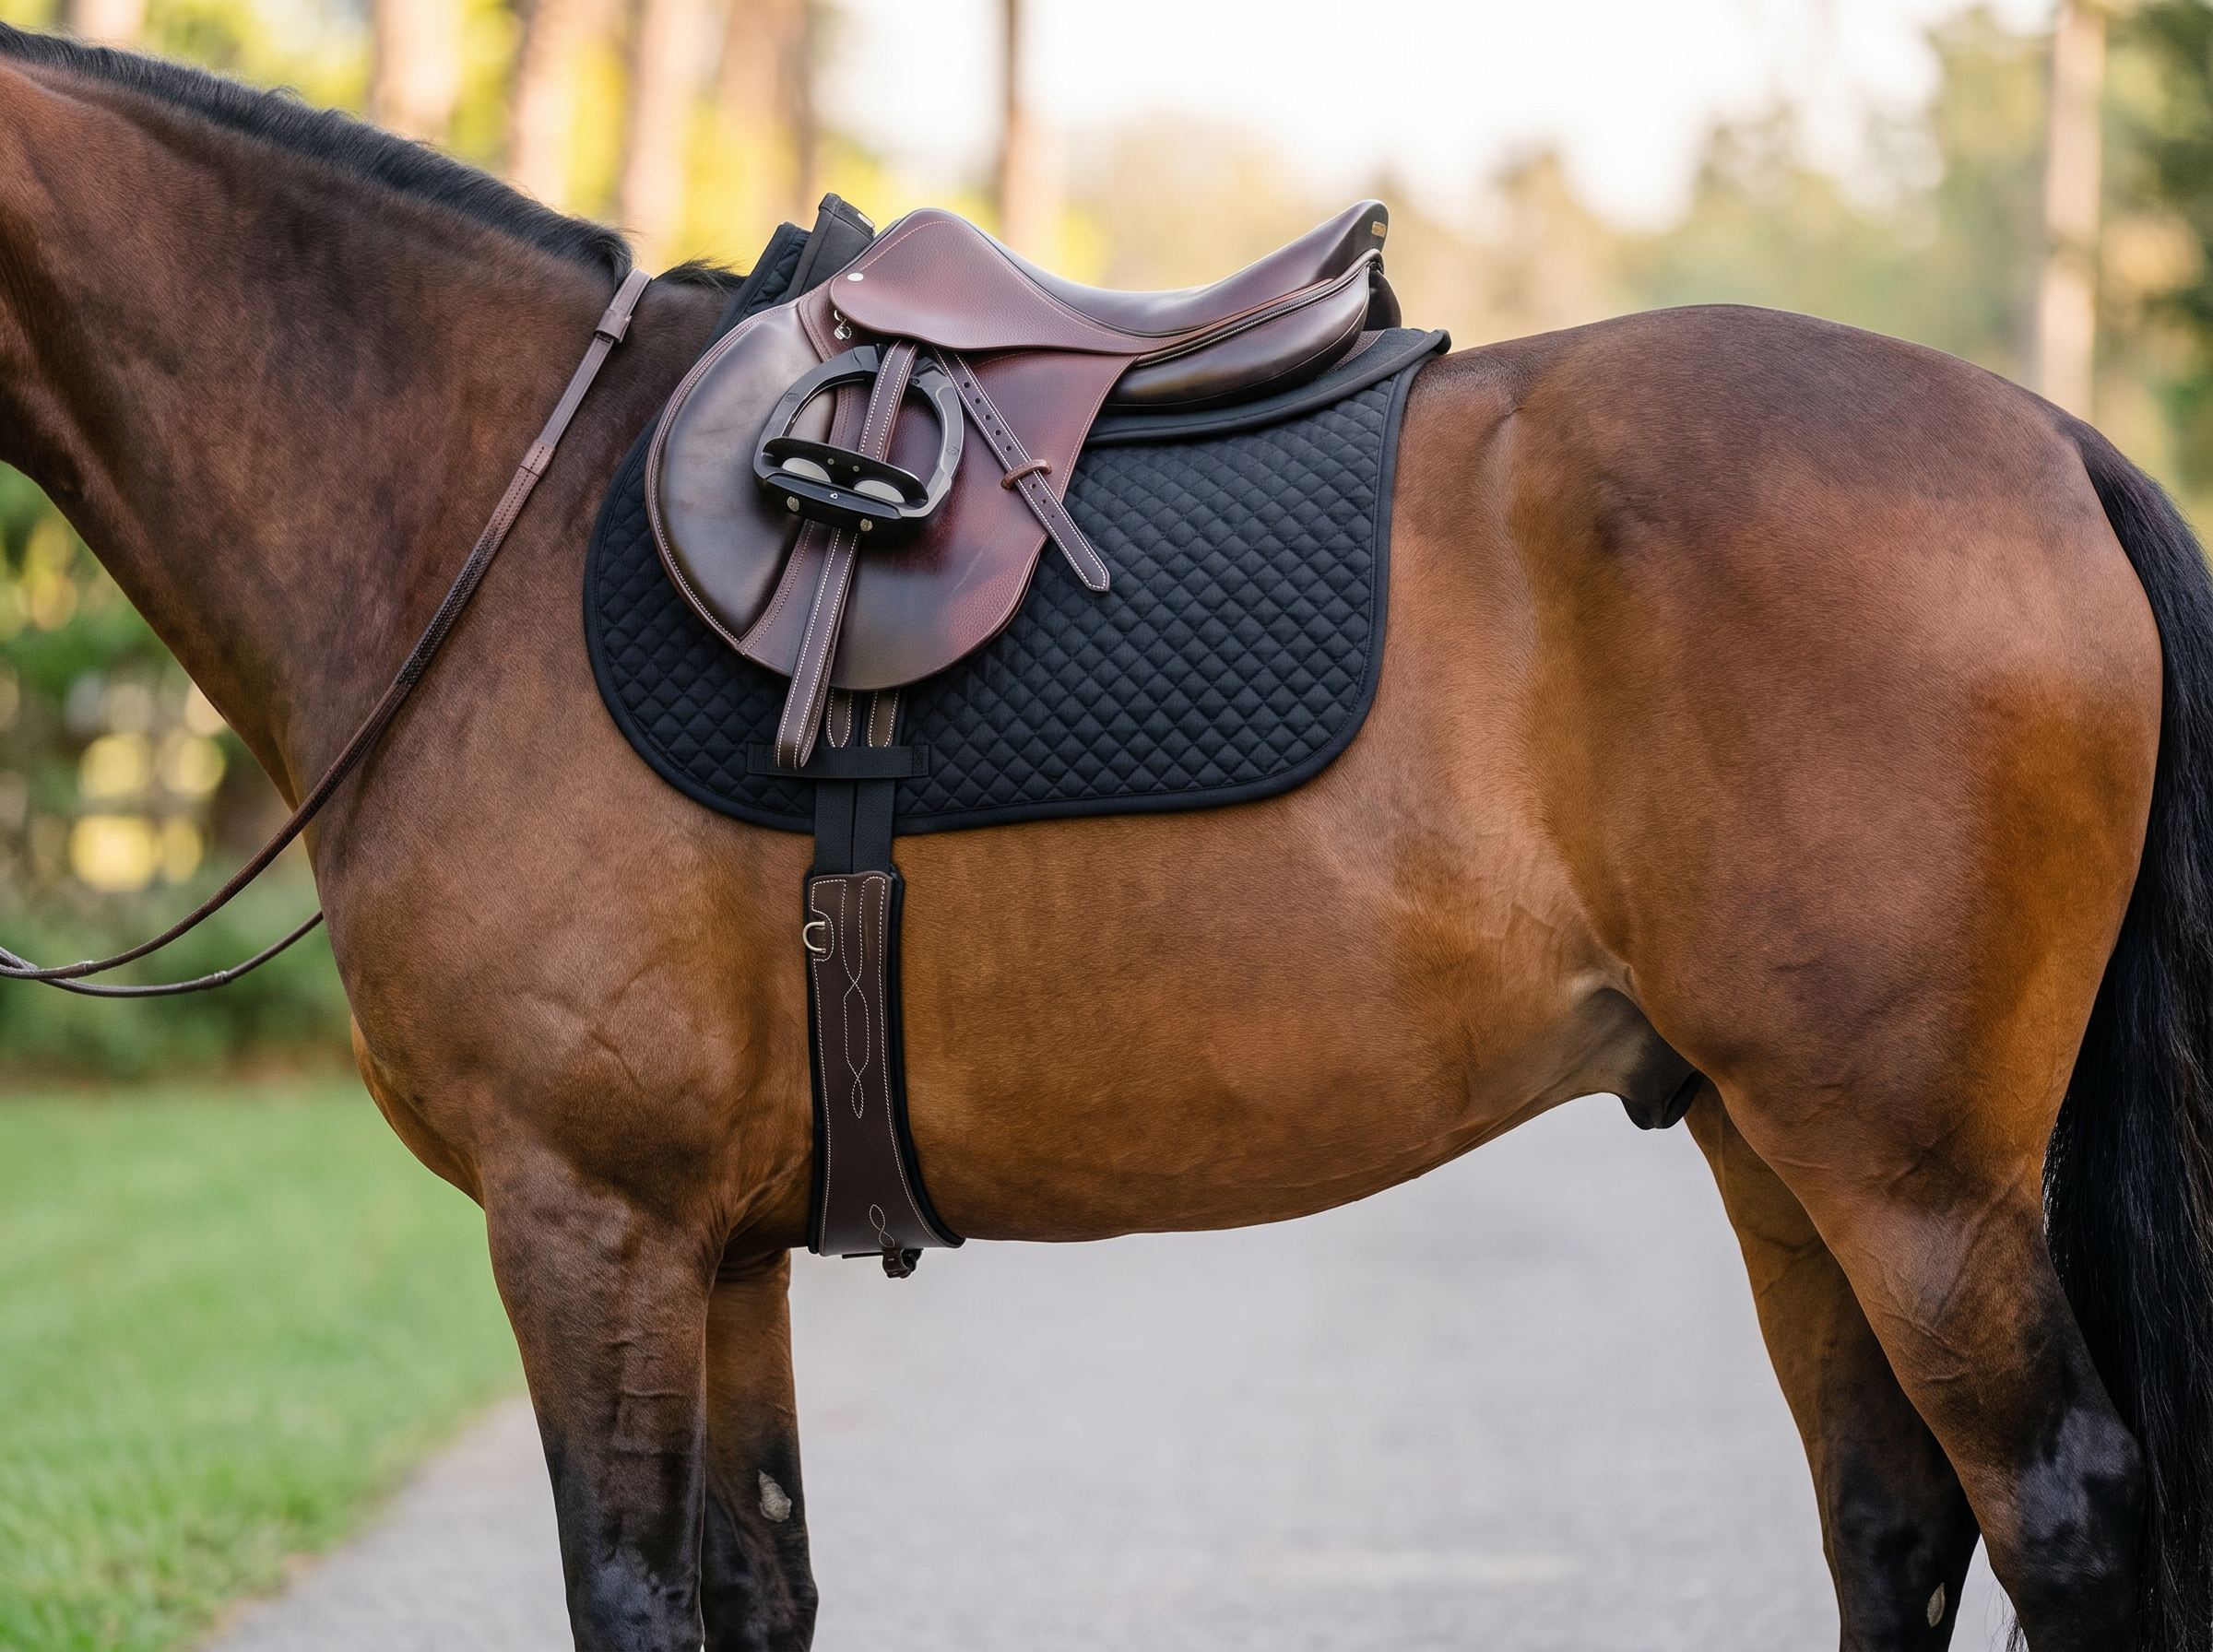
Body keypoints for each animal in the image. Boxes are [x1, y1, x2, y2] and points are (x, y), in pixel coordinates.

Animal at [3, 25, 2209, 1652]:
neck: (487, 518)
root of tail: (2049, 442)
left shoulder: (587, 1217)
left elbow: (631, 1597)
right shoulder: (716, 1247)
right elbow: (758, 1586)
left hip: (1911, 1174)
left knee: (2065, 1511)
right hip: (1776, 1145)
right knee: (1893, 1523)